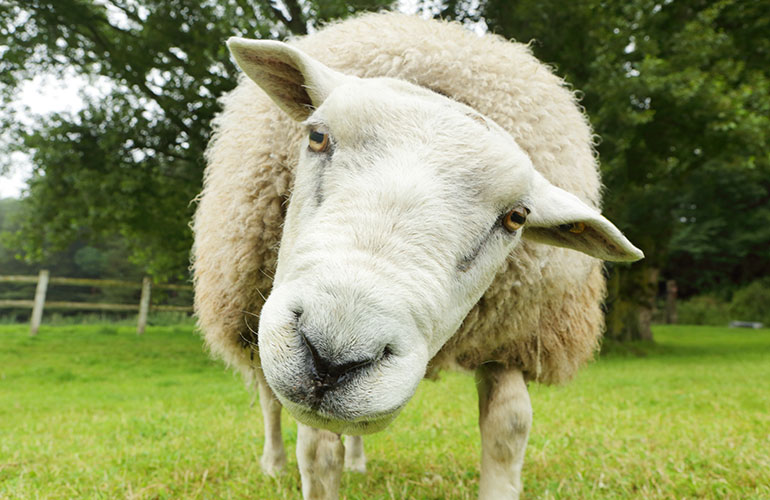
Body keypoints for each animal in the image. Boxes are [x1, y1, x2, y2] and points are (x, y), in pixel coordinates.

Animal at [192, 12, 643, 500]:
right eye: (317, 136)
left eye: (517, 217)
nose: (333, 357)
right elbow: (316, 452)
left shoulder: (511, 338)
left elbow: (508, 429)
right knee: (267, 398)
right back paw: (273, 464)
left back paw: (357, 462)